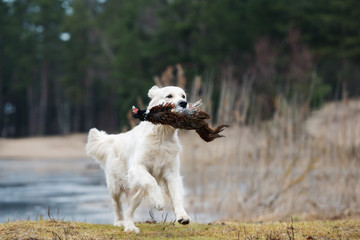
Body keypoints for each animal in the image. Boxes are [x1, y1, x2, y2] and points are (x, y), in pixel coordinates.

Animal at [86, 85, 191, 232]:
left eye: (183, 96)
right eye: (169, 96)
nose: (183, 103)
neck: (162, 135)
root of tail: (114, 139)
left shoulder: (172, 172)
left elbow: (176, 194)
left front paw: (182, 216)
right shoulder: (137, 167)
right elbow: (151, 181)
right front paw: (158, 201)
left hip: (138, 191)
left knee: (129, 209)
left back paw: (130, 226)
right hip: (115, 185)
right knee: (116, 204)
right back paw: (120, 222)